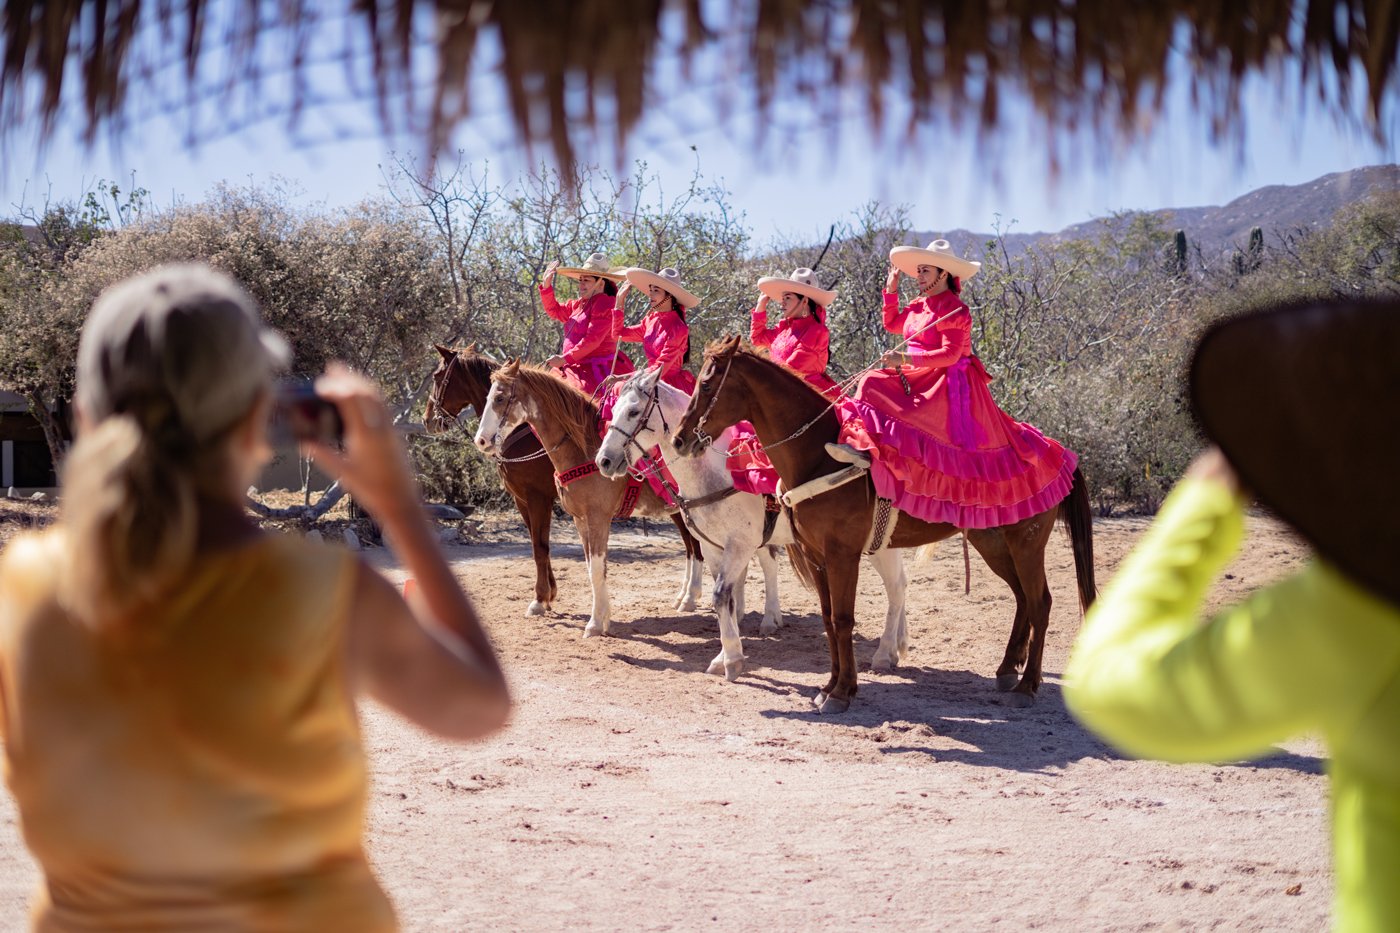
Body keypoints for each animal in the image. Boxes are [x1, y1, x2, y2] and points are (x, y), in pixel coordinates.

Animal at [476, 358, 705, 636]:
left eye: (499, 398)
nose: (481, 440)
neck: (582, 449)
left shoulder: (596, 517)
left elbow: (595, 568)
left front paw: (594, 623)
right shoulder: (580, 519)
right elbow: (591, 567)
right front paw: (603, 616)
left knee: (699, 546)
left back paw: (691, 598)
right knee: (691, 546)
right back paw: (684, 596)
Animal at [596, 367, 912, 680]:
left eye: (634, 412)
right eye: (612, 412)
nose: (604, 461)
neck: (719, 473)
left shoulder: (740, 545)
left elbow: (722, 596)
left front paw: (732, 659)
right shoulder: (713, 548)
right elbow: (726, 600)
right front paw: (726, 656)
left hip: (874, 544)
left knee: (895, 586)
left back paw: (884, 653)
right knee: (899, 583)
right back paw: (898, 643)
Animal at [666, 334, 1092, 711]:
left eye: (707, 383)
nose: (680, 440)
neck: (820, 457)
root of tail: (1059, 451)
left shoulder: (841, 554)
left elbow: (843, 619)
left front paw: (841, 693)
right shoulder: (816, 555)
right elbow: (828, 620)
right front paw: (830, 687)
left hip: (1026, 544)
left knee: (1040, 602)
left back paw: (1026, 685)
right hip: (993, 543)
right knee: (1022, 599)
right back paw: (1005, 670)